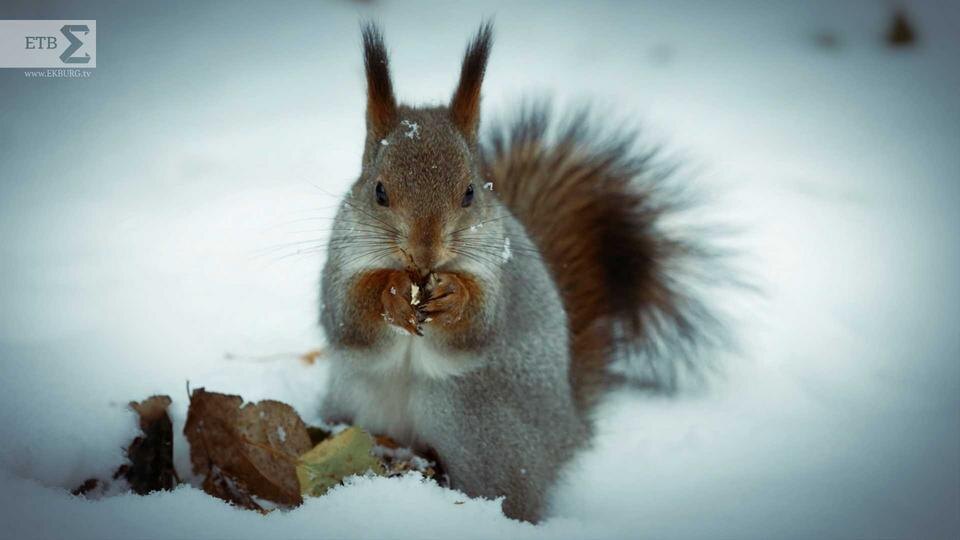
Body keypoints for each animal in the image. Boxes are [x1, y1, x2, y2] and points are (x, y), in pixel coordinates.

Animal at [318, 23, 716, 520]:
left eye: (471, 192)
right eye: (379, 191)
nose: (425, 252)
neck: (419, 274)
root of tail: (568, 431)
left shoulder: (500, 275)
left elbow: (480, 327)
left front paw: (453, 297)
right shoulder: (338, 264)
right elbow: (347, 318)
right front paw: (390, 293)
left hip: (476, 417)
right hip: (350, 397)